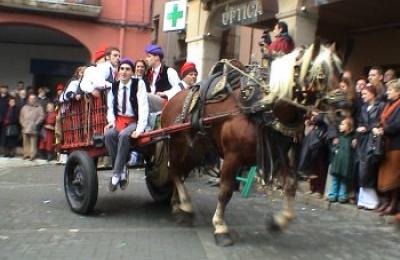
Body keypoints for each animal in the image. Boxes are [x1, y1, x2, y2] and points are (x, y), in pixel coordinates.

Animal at [158, 42, 342, 246]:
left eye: (341, 73)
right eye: (321, 74)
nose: (342, 106)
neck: (262, 107)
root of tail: (171, 102)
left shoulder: (280, 154)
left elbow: (291, 185)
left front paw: (279, 221)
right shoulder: (232, 156)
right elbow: (226, 191)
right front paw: (220, 227)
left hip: (196, 150)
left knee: (180, 173)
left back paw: (178, 206)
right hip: (177, 145)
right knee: (174, 172)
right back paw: (185, 205)